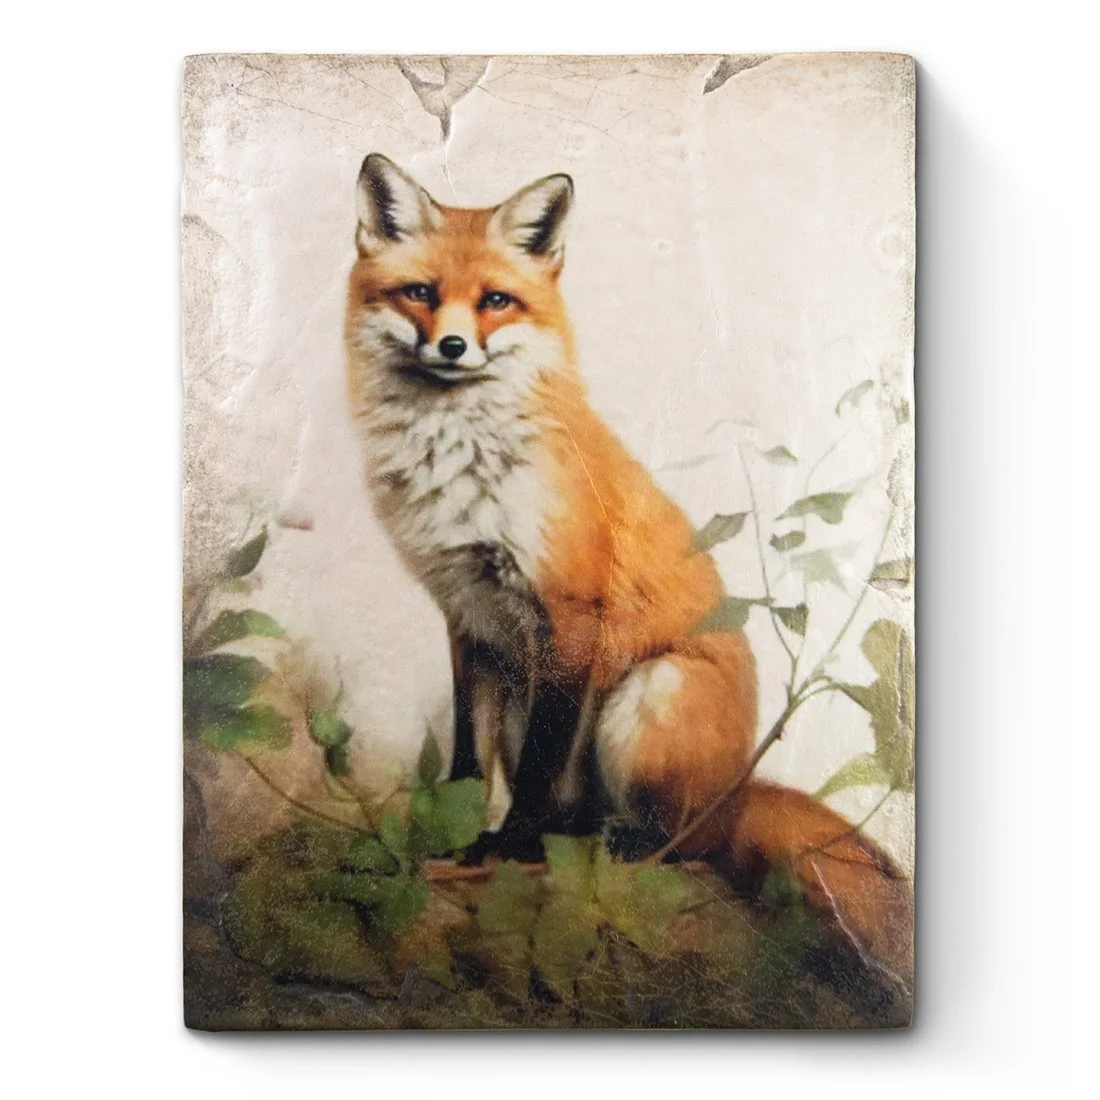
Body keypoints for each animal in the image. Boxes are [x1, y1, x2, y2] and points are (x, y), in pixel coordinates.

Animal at [344, 153, 913, 983]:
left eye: (495, 302)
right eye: (420, 293)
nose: (450, 347)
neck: (462, 463)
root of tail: (739, 793)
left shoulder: (569, 616)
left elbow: (538, 773)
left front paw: (507, 850)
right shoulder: (468, 619)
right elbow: (466, 762)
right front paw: (456, 842)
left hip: (647, 694)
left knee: (677, 849)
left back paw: (618, 846)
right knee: (579, 818)